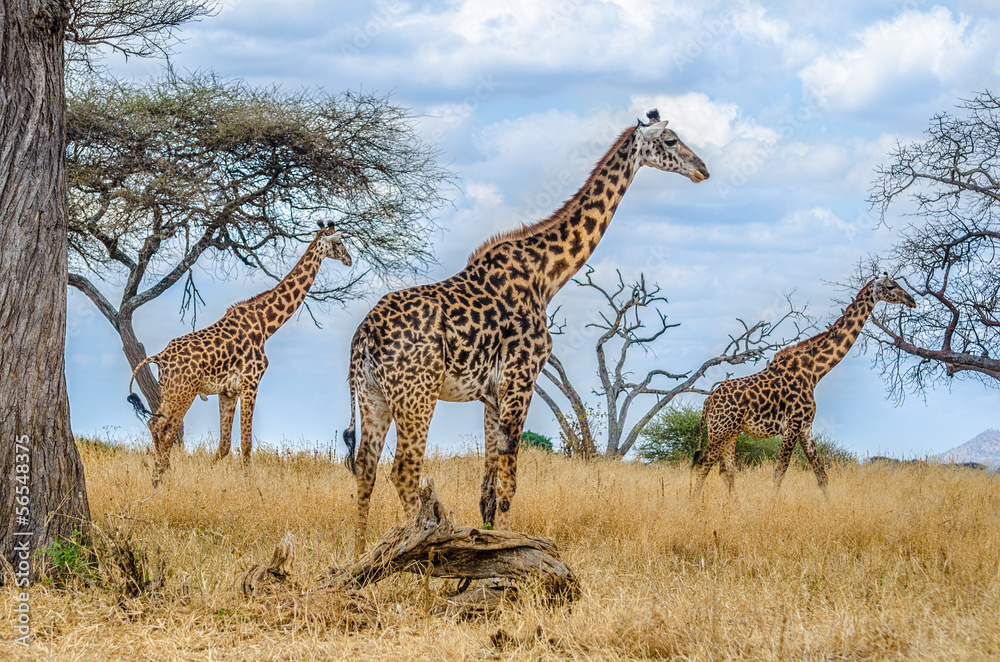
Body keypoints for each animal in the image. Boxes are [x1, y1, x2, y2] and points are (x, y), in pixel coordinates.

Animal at [127, 223, 352, 484]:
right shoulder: (250, 383)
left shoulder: (227, 391)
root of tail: (159, 357)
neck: (265, 325)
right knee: (166, 430)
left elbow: (224, 445)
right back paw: (161, 478)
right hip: (183, 392)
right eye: (339, 242)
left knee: (155, 425)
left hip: (169, 390)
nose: (349, 259)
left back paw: (161, 475)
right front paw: (249, 484)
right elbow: (246, 443)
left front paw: (210, 477)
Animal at [343, 110, 710, 552]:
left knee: (365, 468)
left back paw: (363, 556)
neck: (547, 275)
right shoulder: (522, 378)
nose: (703, 169)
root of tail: (363, 336)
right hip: (417, 394)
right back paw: (417, 547)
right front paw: (509, 545)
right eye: (671, 140)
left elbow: (486, 488)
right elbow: (509, 485)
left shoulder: (491, 394)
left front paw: (487, 541)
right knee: (404, 470)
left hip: (373, 396)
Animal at [691, 274, 916, 497]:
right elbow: (780, 471)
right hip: (721, 430)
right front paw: (772, 505)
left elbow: (821, 475)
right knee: (703, 466)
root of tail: (708, 400)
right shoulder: (793, 424)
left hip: (731, 431)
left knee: (726, 470)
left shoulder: (806, 427)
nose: (911, 300)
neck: (814, 371)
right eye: (891, 286)